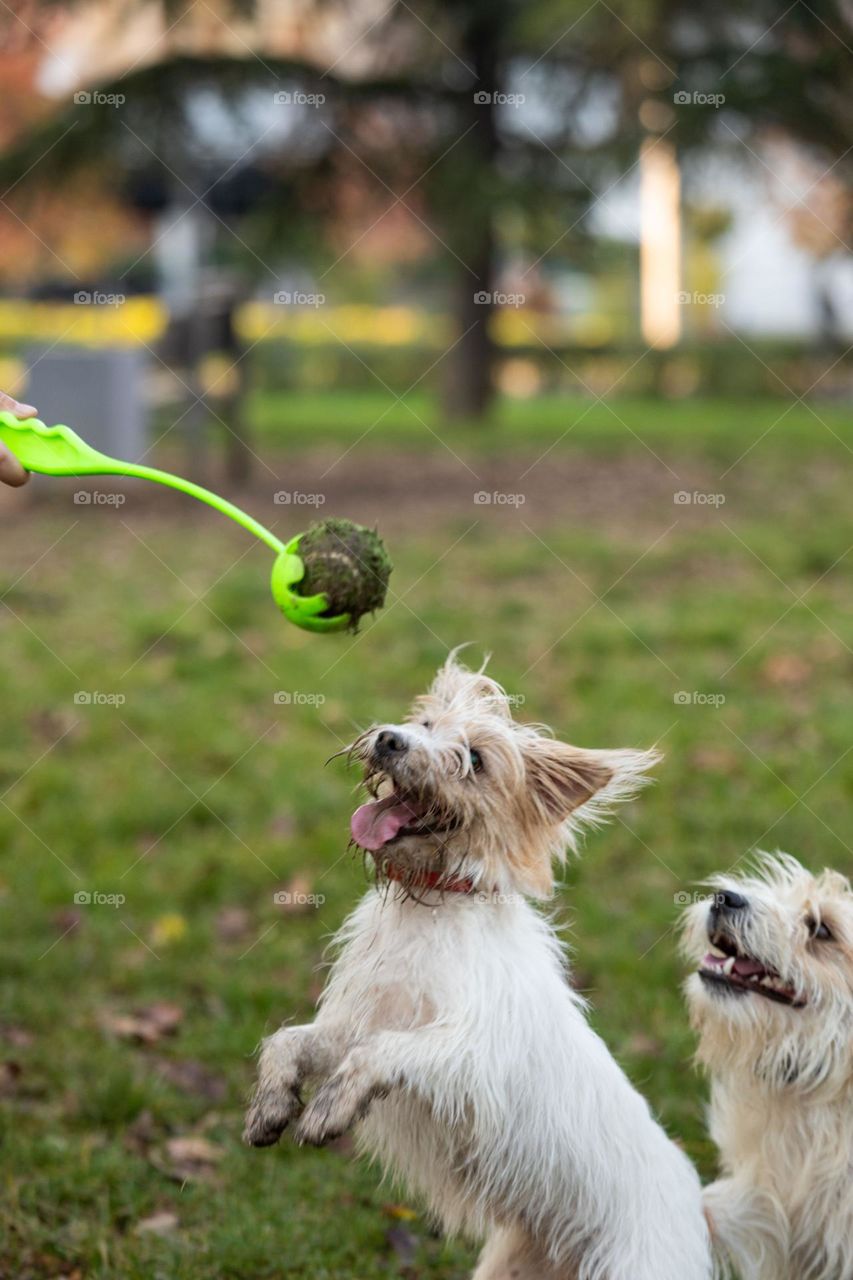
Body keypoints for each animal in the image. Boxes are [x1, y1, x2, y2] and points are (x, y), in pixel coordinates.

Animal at [245, 660, 712, 1280]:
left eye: (475, 759)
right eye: (424, 723)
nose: (390, 740)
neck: (430, 908)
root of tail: (701, 1208)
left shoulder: (470, 1055)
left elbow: (382, 1053)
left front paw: (330, 1108)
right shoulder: (354, 1023)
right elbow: (288, 1041)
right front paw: (271, 1104)